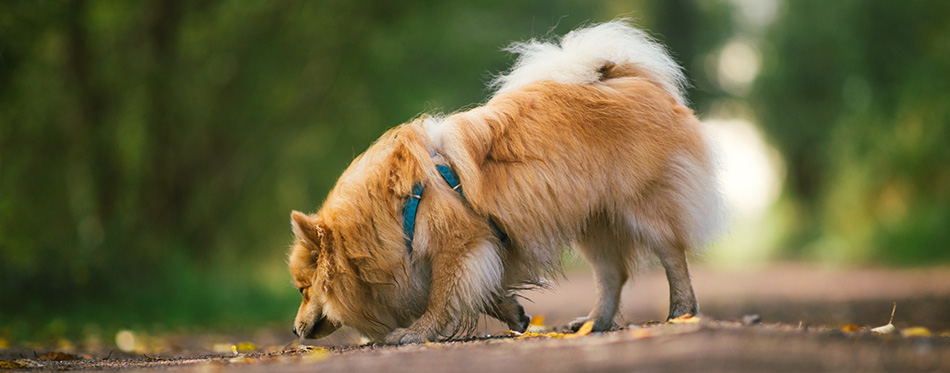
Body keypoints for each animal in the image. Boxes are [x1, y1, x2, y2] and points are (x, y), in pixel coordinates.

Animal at [288, 19, 720, 342]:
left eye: (303, 290)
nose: (294, 330)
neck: (394, 211)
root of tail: (626, 77)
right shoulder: (484, 248)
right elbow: (481, 293)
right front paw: (513, 313)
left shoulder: (461, 245)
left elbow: (442, 296)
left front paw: (416, 333)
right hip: (595, 223)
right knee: (612, 275)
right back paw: (594, 323)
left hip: (645, 210)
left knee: (672, 257)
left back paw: (681, 311)